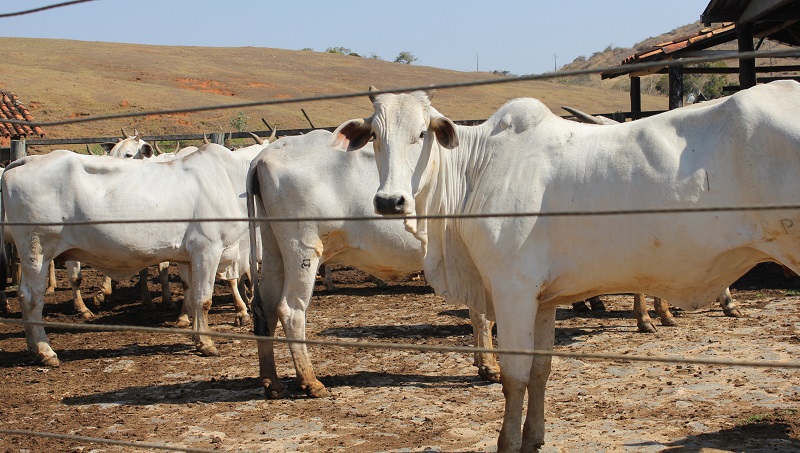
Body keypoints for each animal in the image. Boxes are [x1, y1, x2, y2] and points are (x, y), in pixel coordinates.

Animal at [1, 143, 252, 366]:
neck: (232, 177)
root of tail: (28, 160)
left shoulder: (188, 257)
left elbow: (192, 294)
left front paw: (197, 337)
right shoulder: (207, 249)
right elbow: (204, 299)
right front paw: (208, 344)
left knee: (24, 295)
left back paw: (34, 349)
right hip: (37, 250)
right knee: (32, 297)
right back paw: (45, 351)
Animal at [328, 82, 800, 452]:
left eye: (422, 132)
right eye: (374, 134)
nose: (390, 201)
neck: (476, 171)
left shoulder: (513, 289)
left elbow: (515, 374)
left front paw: (507, 441)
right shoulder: (544, 299)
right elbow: (541, 370)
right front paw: (534, 437)